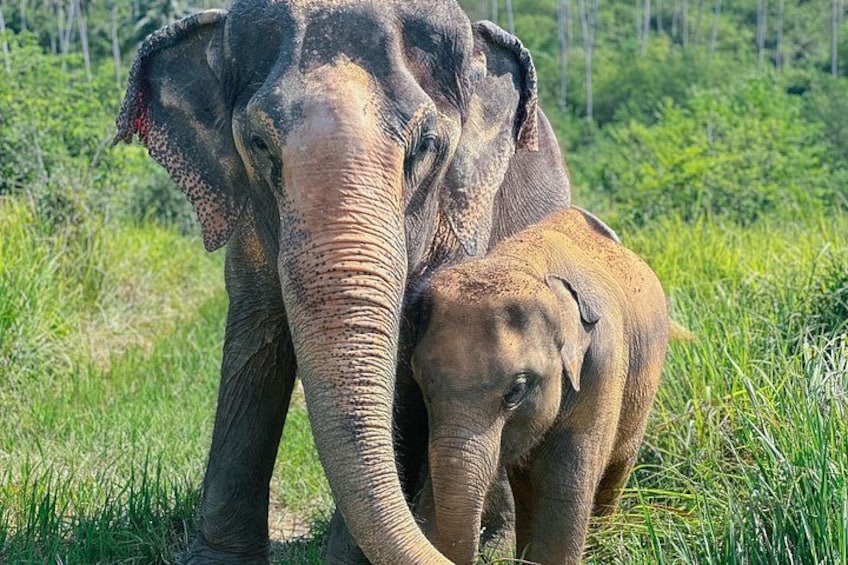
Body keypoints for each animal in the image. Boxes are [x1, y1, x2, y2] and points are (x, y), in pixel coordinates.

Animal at [410, 207, 669, 565]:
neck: (524, 266)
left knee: (617, 469)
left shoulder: (601, 368)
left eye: (516, 391)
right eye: (422, 384)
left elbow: (565, 489)